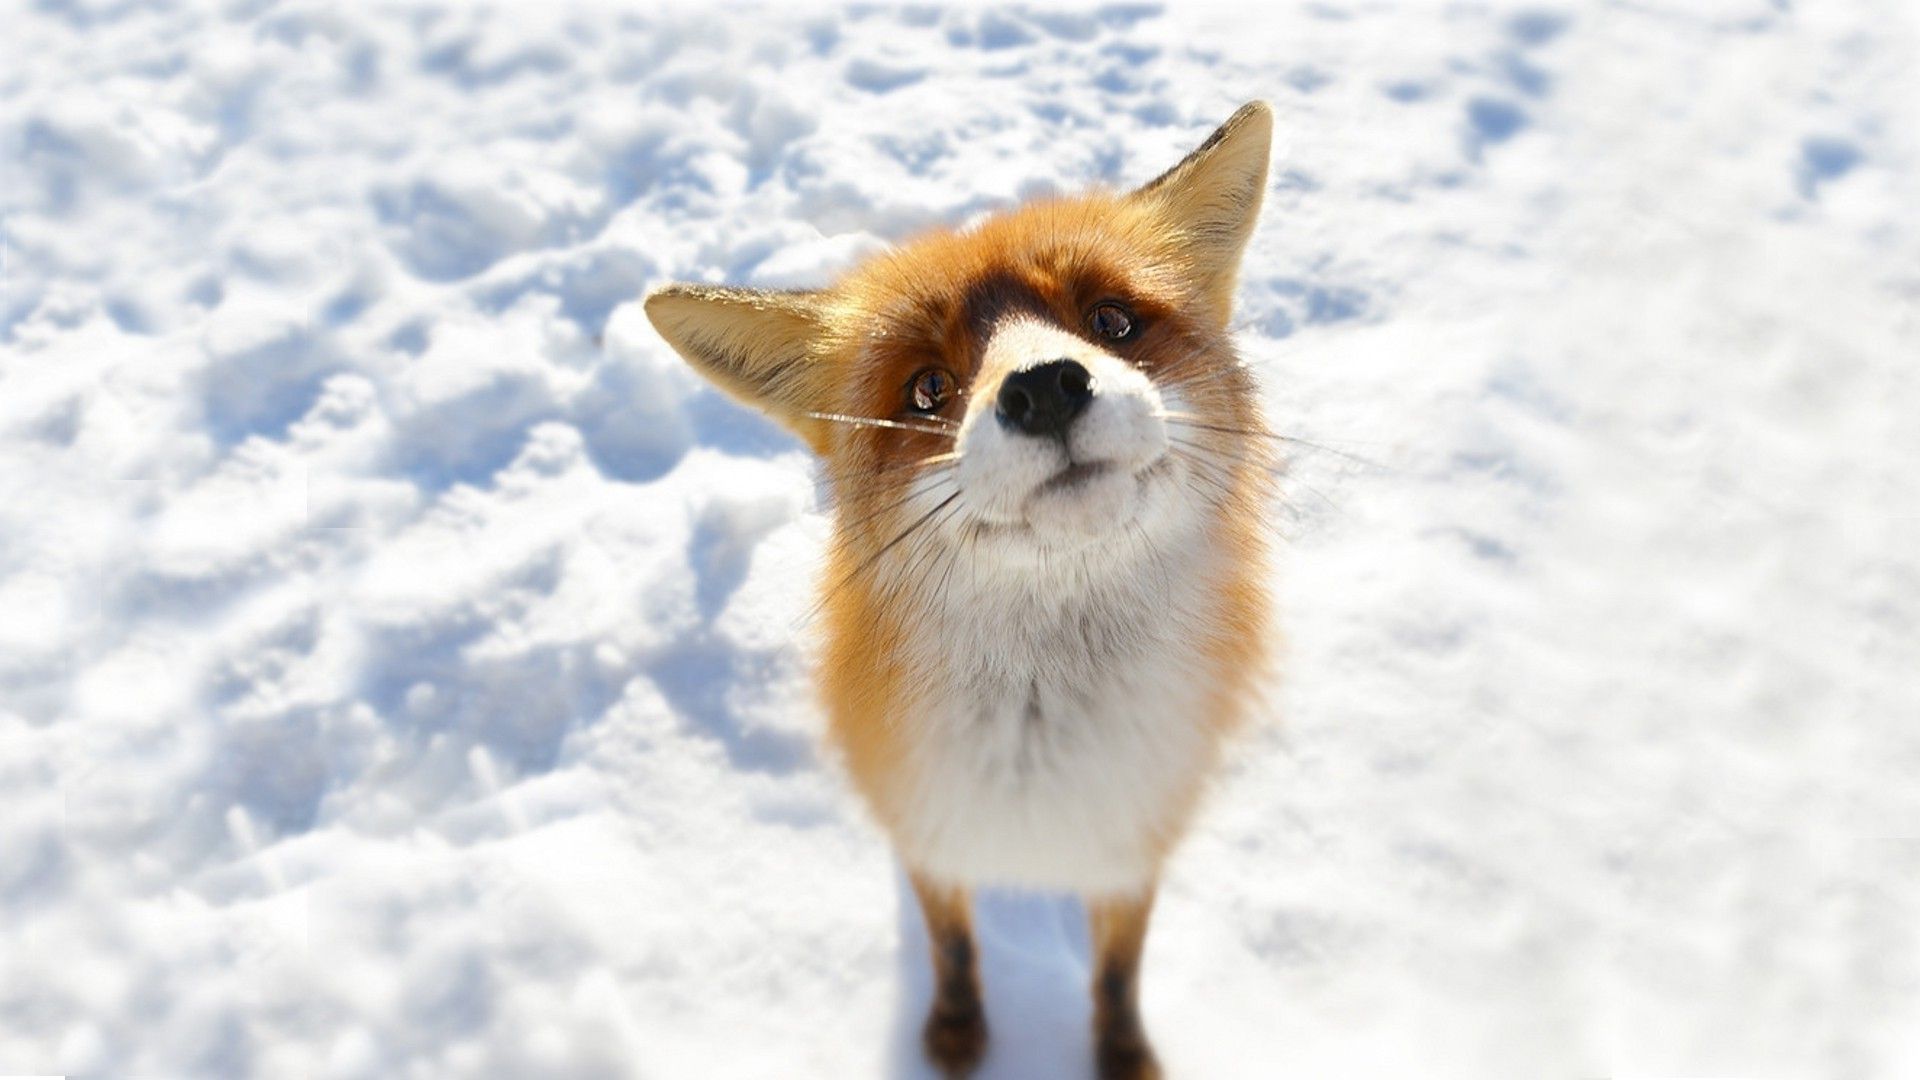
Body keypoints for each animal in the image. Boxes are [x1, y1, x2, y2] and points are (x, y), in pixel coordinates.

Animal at [645, 102, 1274, 1076]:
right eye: (927, 387)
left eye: (1111, 321)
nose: (1046, 388)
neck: (1043, 752)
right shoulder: (927, 830)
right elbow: (951, 944)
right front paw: (954, 1034)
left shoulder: (1136, 842)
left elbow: (1117, 972)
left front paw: (1122, 1055)